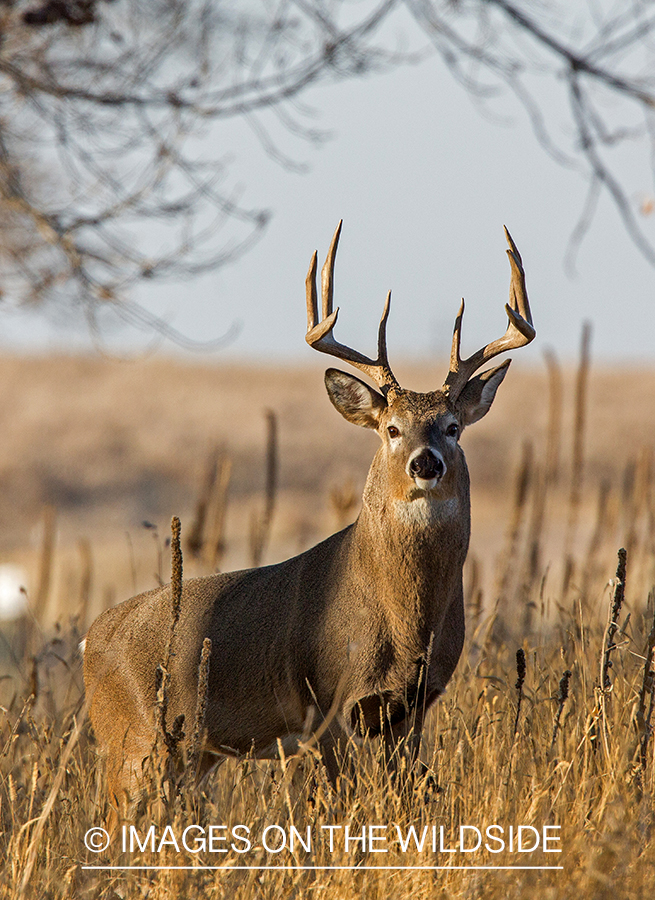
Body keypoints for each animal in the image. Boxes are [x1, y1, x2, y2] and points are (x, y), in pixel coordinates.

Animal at [83, 220, 532, 808]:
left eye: (453, 427)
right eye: (391, 428)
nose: (426, 462)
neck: (404, 622)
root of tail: (91, 640)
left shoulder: (413, 707)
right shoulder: (327, 704)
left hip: (189, 754)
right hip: (131, 745)